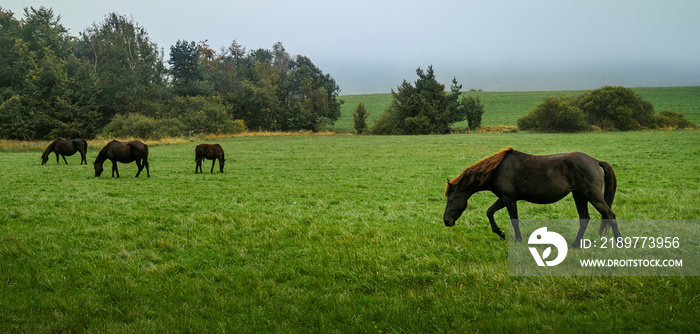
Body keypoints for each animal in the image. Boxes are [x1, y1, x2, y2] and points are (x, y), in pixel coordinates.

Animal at [446, 147, 620, 248]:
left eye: (450, 199)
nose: (446, 220)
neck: (498, 169)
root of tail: (595, 161)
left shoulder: (509, 199)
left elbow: (514, 220)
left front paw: (517, 240)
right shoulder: (504, 198)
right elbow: (490, 211)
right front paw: (500, 233)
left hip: (593, 196)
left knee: (610, 215)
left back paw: (620, 243)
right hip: (579, 195)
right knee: (584, 218)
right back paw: (576, 245)